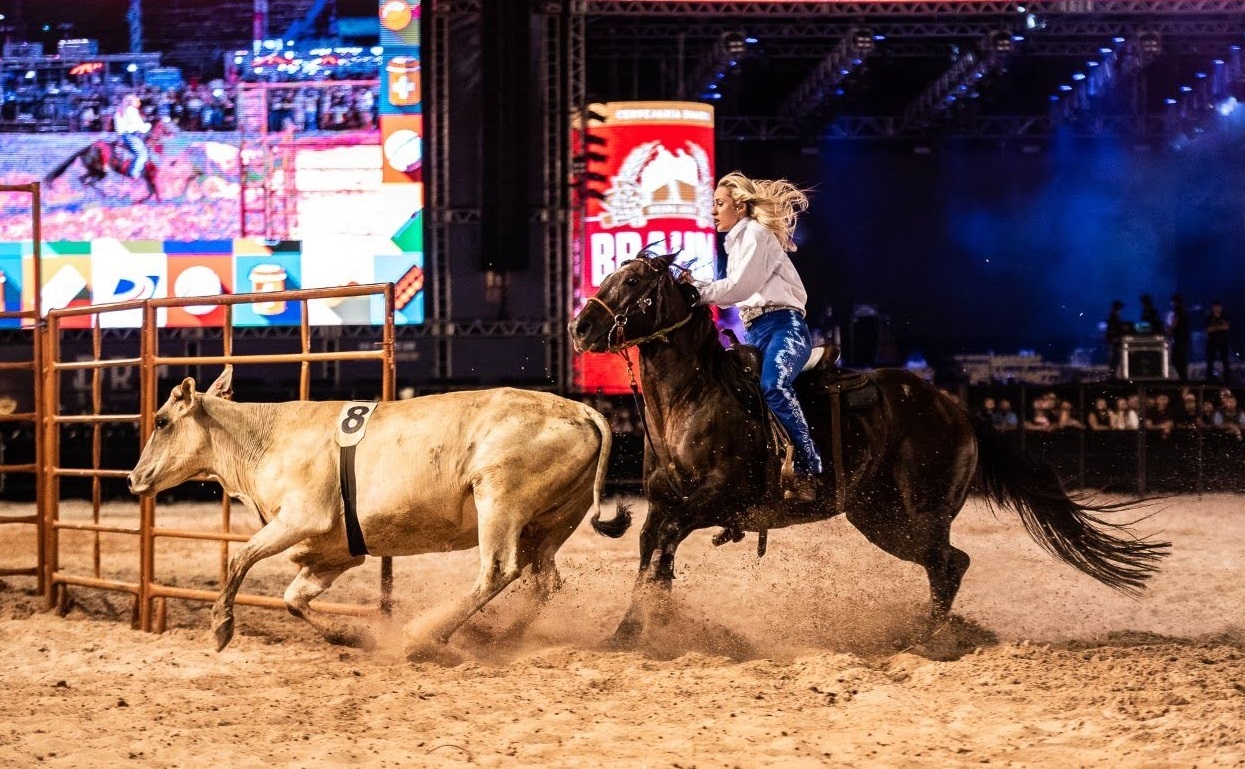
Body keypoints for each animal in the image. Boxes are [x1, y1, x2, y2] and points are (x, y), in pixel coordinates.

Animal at [43, 118, 174, 200]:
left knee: (83, 180)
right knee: (89, 182)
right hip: (98, 171)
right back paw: (104, 195)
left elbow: (154, 191)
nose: (173, 132)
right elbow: (152, 191)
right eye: (166, 125)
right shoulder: (146, 175)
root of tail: (88, 148)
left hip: (95, 171)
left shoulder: (149, 176)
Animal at [127, 365, 612, 657]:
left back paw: (427, 636)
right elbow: (292, 599)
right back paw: (505, 637)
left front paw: (221, 627)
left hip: (498, 498)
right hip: (553, 521)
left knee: (498, 571)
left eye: (161, 421)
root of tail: (581, 409)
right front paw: (349, 635)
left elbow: (240, 558)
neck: (264, 438)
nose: (132, 478)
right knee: (544, 579)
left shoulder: (300, 518)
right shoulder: (333, 554)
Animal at [570, 250, 1170, 642]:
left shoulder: (715, 502)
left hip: (916, 513)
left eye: (633, 282)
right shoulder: (665, 503)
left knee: (948, 564)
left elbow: (662, 550)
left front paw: (647, 626)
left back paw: (927, 640)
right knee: (949, 563)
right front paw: (634, 630)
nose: (579, 327)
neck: (694, 395)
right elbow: (652, 552)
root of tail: (957, 409)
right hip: (880, 516)